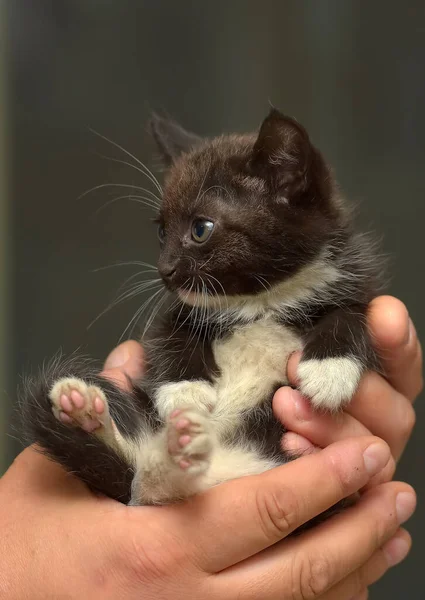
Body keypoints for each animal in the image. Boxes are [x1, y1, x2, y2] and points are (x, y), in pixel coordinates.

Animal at [19, 109, 380, 506]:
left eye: (200, 229)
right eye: (161, 231)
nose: (164, 270)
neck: (260, 302)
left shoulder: (357, 282)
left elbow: (349, 313)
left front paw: (329, 370)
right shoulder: (177, 308)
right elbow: (169, 333)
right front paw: (184, 390)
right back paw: (86, 411)